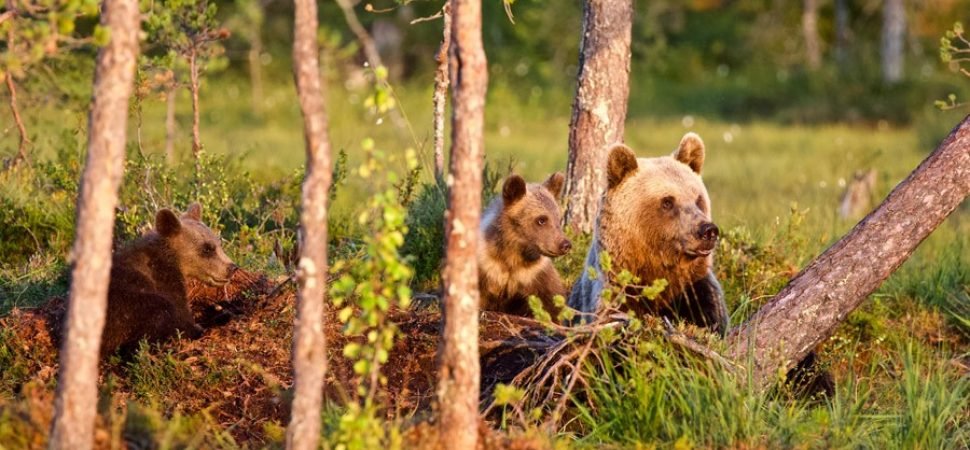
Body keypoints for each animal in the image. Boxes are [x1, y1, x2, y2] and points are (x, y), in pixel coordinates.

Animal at [99, 203, 238, 358]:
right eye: (207, 249)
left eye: (219, 243)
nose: (232, 267)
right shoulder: (164, 281)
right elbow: (182, 318)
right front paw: (217, 316)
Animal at [478, 172, 572, 318]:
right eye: (541, 220)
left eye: (558, 218)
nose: (565, 244)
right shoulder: (487, 267)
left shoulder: (535, 275)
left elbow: (550, 302)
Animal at [568, 133, 729, 334]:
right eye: (667, 202)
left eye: (698, 199)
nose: (708, 231)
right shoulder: (616, 293)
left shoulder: (694, 287)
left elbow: (710, 317)